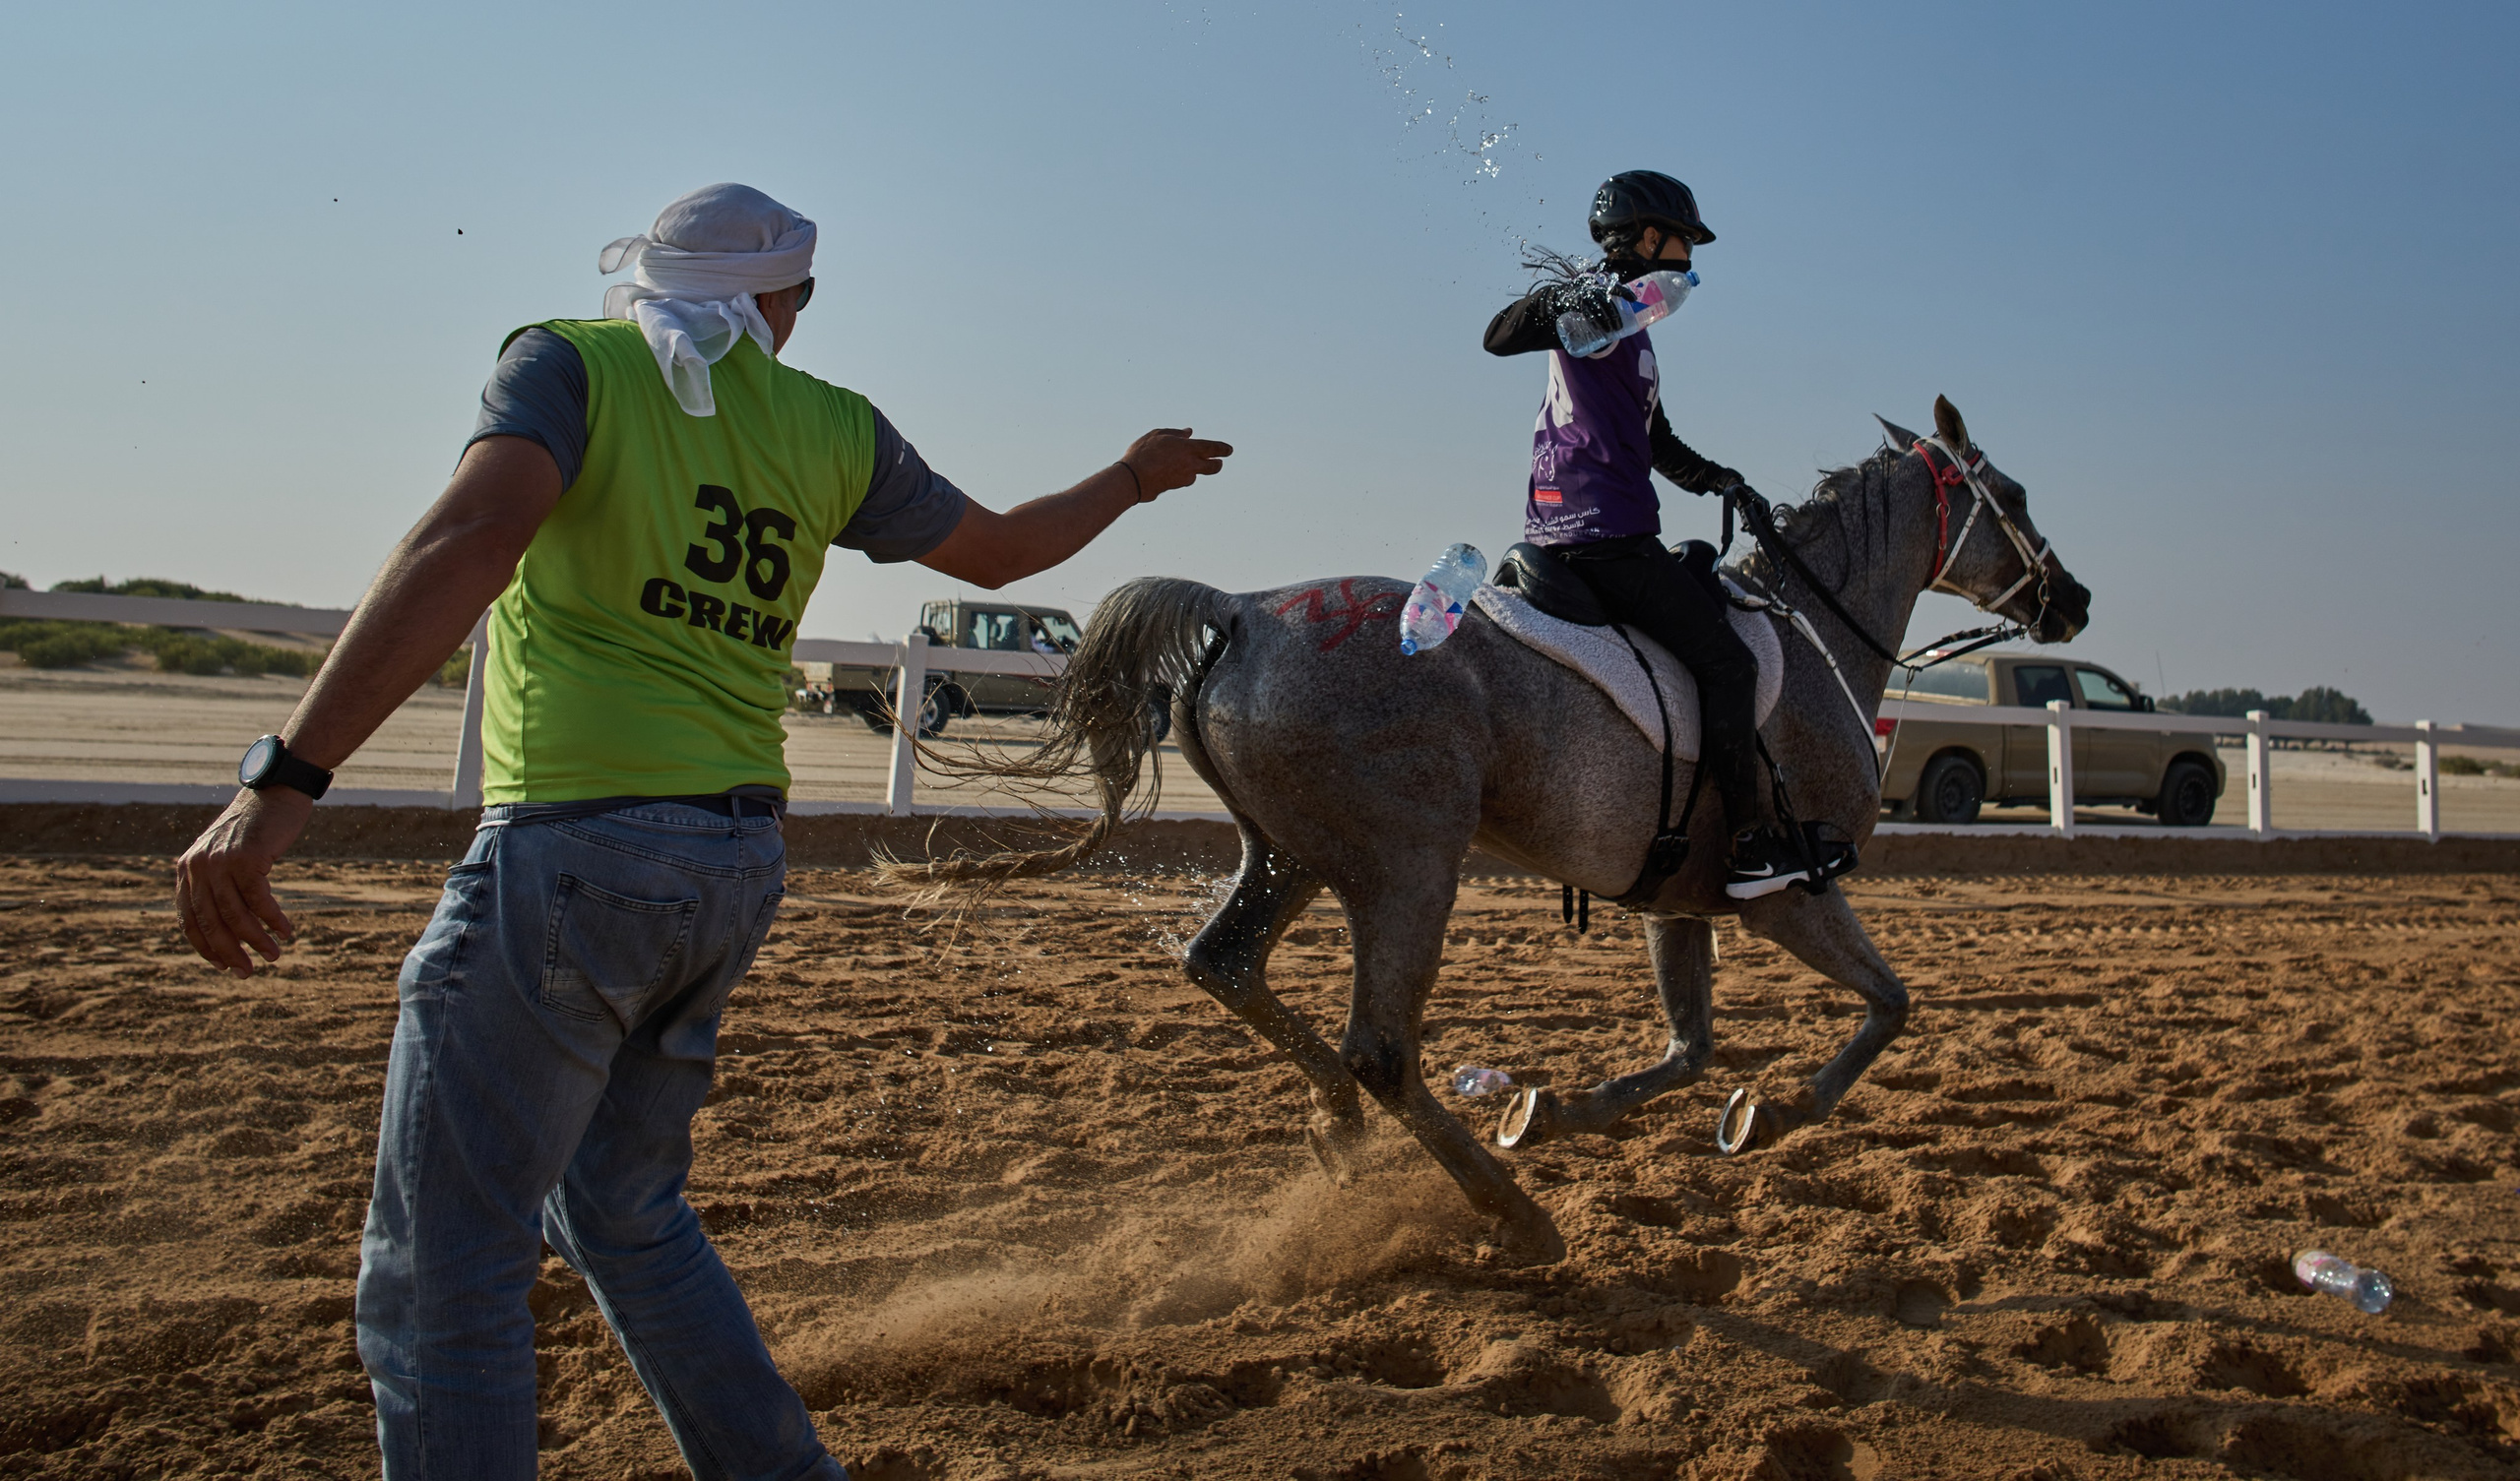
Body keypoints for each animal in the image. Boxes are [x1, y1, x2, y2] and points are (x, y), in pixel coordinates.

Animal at [887, 396, 2090, 1262]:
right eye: (2014, 492)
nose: (2071, 600)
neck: (1808, 638)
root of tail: (1241, 611)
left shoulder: (1676, 903)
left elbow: (1689, 1049)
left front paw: (1550, 1111)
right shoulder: (1792, 891)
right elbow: (1889, 1007)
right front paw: (1778, 1113)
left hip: (1291, 857)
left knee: (1225, 964)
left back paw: (1341, 1125)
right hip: (1409, 873)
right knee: (1380, 1047)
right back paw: (1508, 1210)